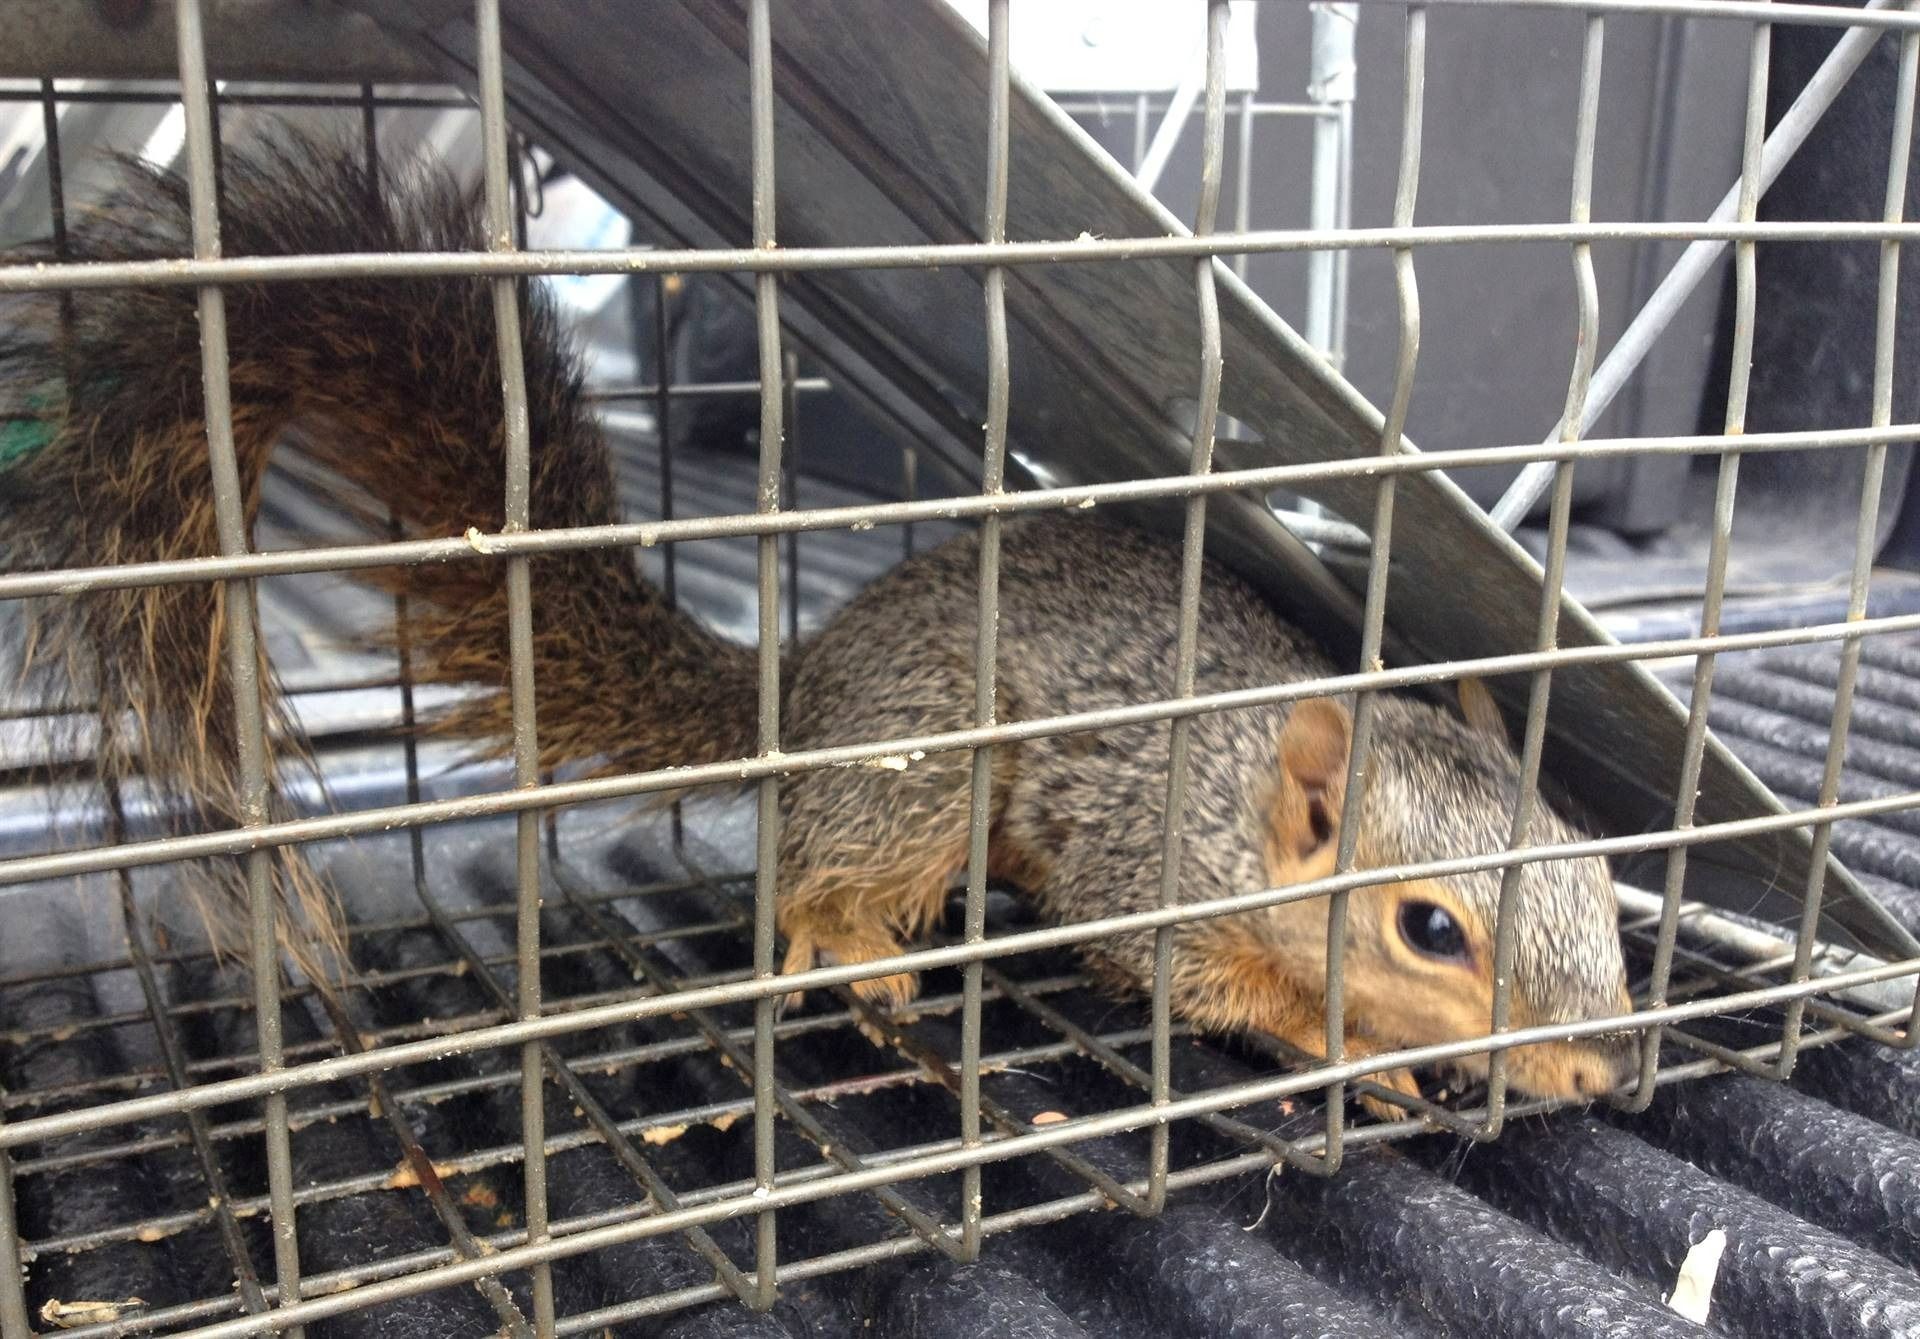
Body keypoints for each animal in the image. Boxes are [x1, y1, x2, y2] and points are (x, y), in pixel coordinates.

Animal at [0, 136, 1634, 1110]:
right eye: (1432, 929)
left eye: (1601, 880)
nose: (1603, 1075)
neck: (1238, 789)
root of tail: (807, 688)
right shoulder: (1153, 863)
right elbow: (1185, 978)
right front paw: (1350, 1043)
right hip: (926, 760)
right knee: (799, 878)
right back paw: (851, 939)